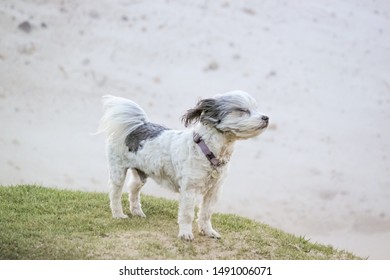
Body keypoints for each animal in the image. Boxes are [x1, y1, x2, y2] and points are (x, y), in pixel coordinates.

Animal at [97, 90, 268, 241]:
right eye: (242, 110)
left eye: (256, 108)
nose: (266, 117)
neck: (208, 150)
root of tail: (137, 125)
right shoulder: (189, 190)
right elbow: (187, 214)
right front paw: (185, 233)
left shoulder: (214, 190)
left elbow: (206, 213)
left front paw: (208, 231)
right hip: (118, 171)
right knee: (115, 193)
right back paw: (118, 214)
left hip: (141, 173)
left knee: (133, 189)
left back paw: (137, 211)